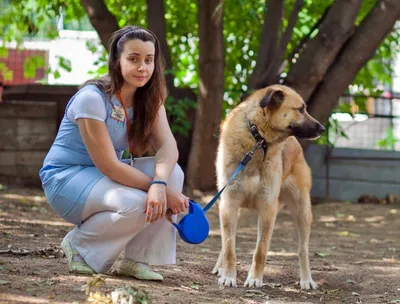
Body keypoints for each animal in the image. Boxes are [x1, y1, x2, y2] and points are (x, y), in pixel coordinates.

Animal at [212, 84, 324, 288]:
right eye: (300, 109)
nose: (323, 128)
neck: (257, 139)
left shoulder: (267, 208)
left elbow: (260, 250)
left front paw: (255, 278)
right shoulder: (229, 203)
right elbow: (229, 246)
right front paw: (228, 276)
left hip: (302, 210)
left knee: (302, 250)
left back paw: (306, 280)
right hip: (238, 209)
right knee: (226, 241)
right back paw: (220, 267)